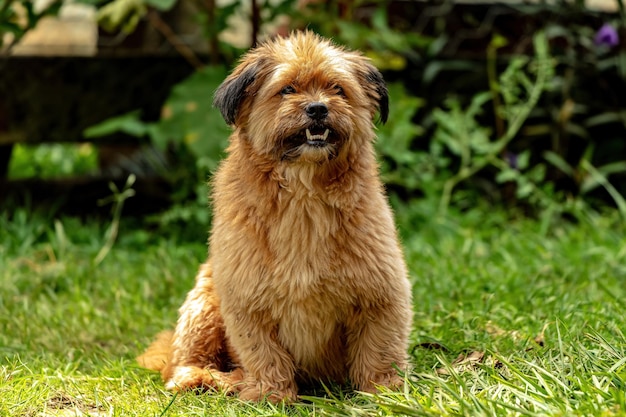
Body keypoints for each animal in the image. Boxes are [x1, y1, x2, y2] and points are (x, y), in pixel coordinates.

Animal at [137, 31, 412, 404]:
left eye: (337, 89)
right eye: (287, 89)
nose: (318, 107)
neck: (304, 196)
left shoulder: (381, 293)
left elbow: (380, 348)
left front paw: (384, 391)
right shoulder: (246, 301)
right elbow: (263, 353)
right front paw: (271, 395)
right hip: (204, 304)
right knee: (182, 365)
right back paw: (209, 379)